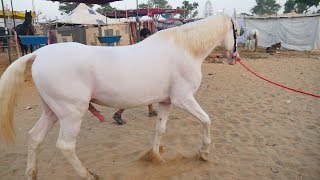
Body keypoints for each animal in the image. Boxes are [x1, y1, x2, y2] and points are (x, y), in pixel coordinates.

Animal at [0, 11, 240, 179]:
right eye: (237, 31)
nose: (234, 57)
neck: (184, 50)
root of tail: (39, 53)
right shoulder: (184, 99)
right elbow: (207, 120)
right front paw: (204, 152)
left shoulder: (166, 102)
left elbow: (160, 129)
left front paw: (155, 157)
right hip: (71, 113)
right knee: (66, 146)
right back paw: (89, 175)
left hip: (51, 112)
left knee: (34, 138)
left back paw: (31, 173)